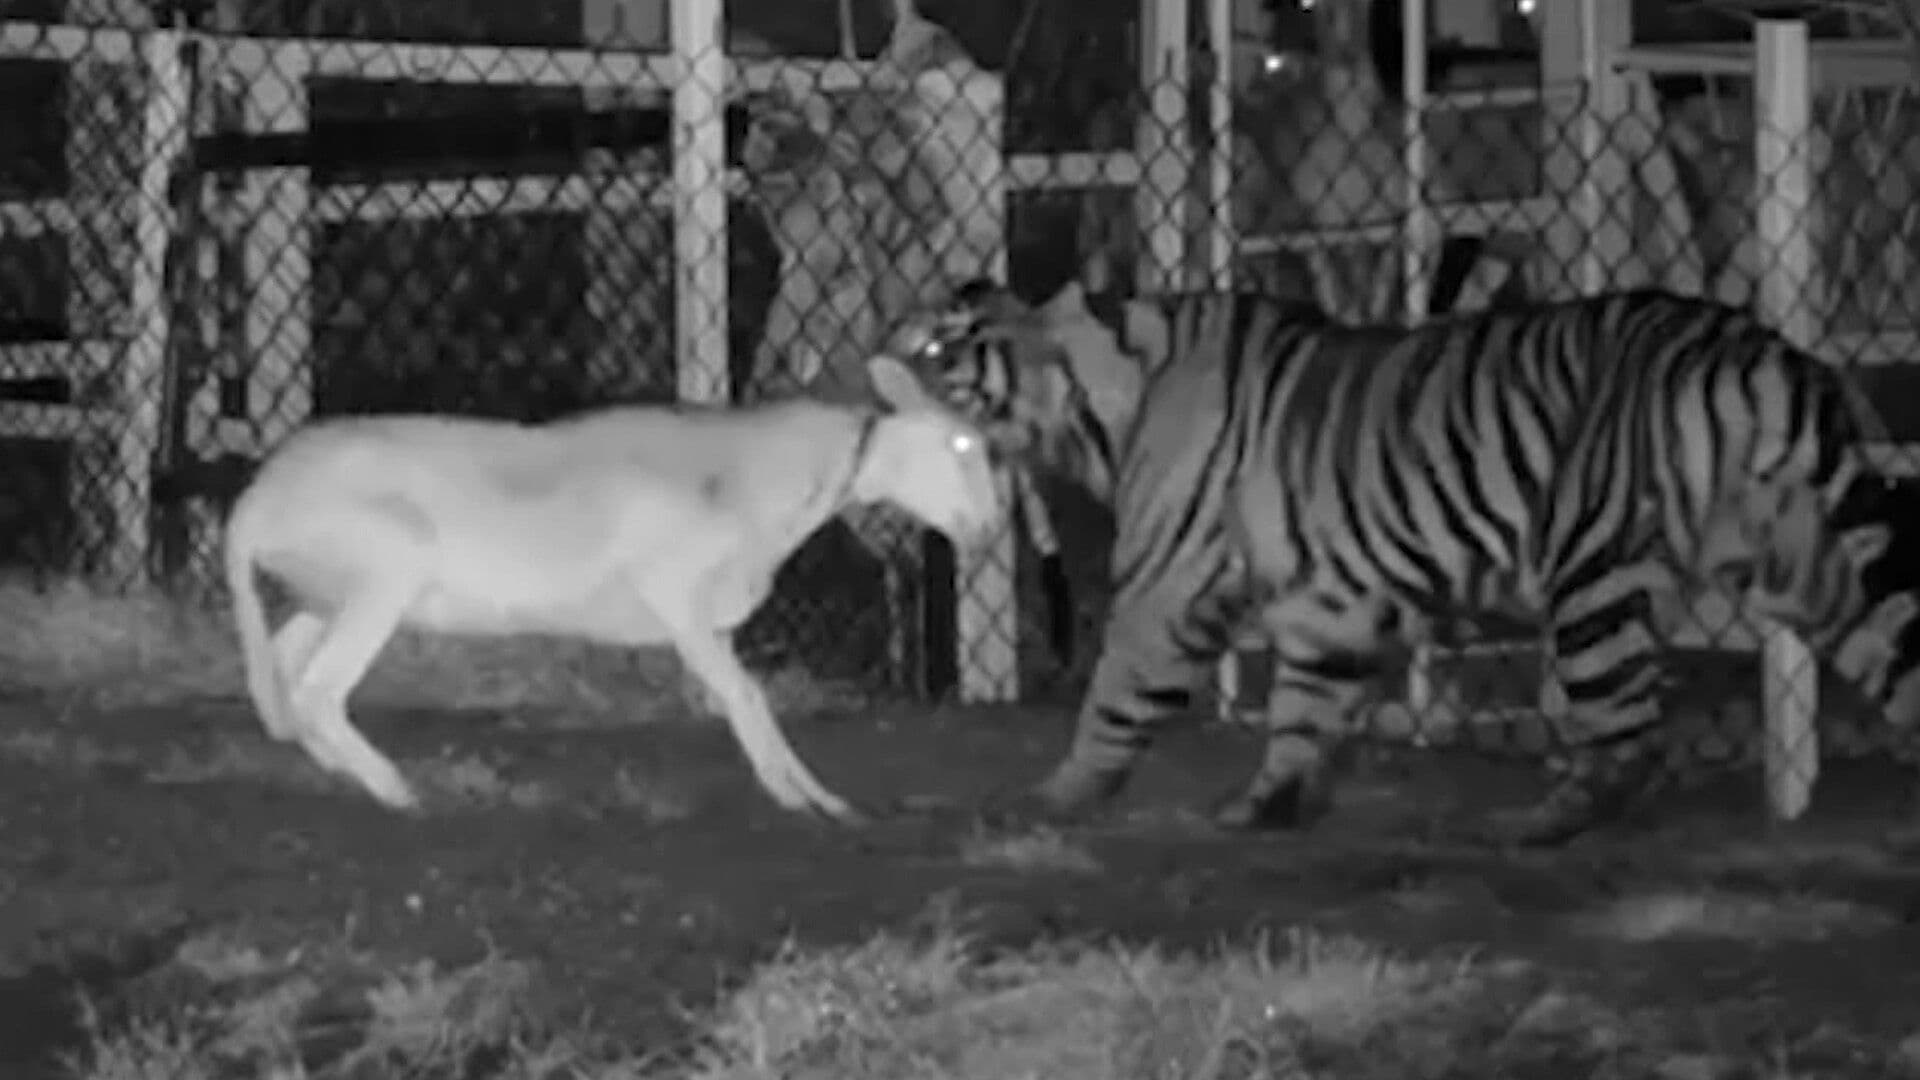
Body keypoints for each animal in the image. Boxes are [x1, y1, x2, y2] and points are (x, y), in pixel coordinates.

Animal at [882, 281, 1920, 846]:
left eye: (939, 339)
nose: (876, 358)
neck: (1101, 401)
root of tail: (1764, 349)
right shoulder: (1326, 609)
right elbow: (1302, 712)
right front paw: (1267, 805)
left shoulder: (1160, 590)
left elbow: (1110, 699)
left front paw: (1050, 799)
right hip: (1812, 558)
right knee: (1894, 653)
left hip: (1590, 570)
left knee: (1628, 737)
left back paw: (1528, 828)